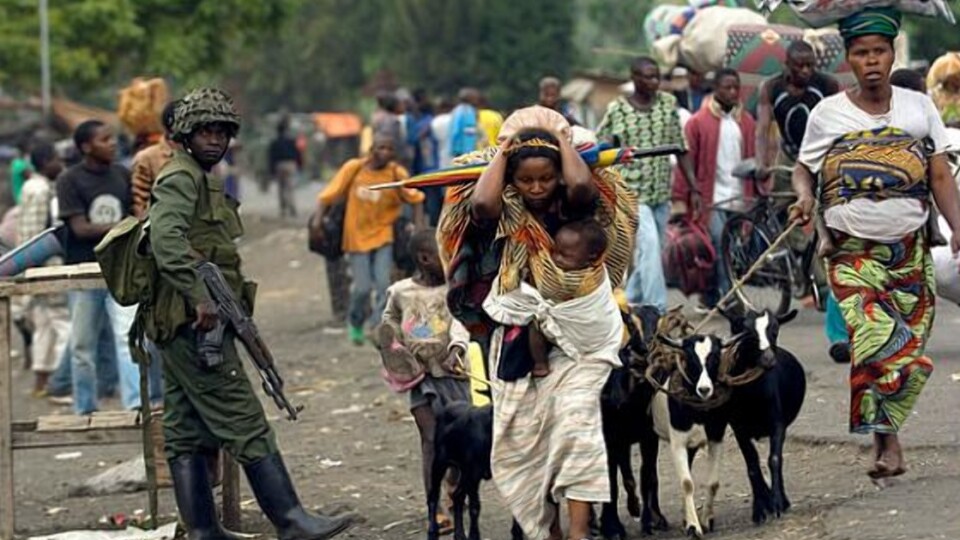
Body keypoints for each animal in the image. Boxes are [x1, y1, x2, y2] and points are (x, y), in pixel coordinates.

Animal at [724, 308, 808, 524]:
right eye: (745, 332)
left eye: (775, 330)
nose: (769, 359)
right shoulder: (738, 428)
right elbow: (752, 464)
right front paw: (760, 509)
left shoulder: (777, 424)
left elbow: (775, 459)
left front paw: (777, 503)